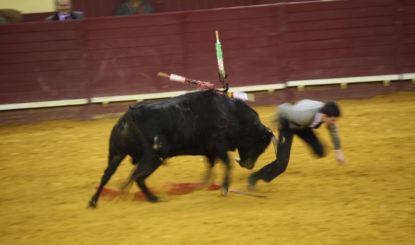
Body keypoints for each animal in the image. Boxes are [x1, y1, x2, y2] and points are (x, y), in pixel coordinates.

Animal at [89, 90, 274, 207]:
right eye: (260, 145)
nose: (249, 165)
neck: (231, 114)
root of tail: (130, 115)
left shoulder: (209, 151)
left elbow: (210, 166)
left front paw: (204, 186)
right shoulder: (218, 147)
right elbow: (227, 164)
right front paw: (224, 189)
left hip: (116, 154)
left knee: (107, 176)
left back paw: (94, 202)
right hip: (153, 157)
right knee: (137, 177)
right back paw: (152, 198)